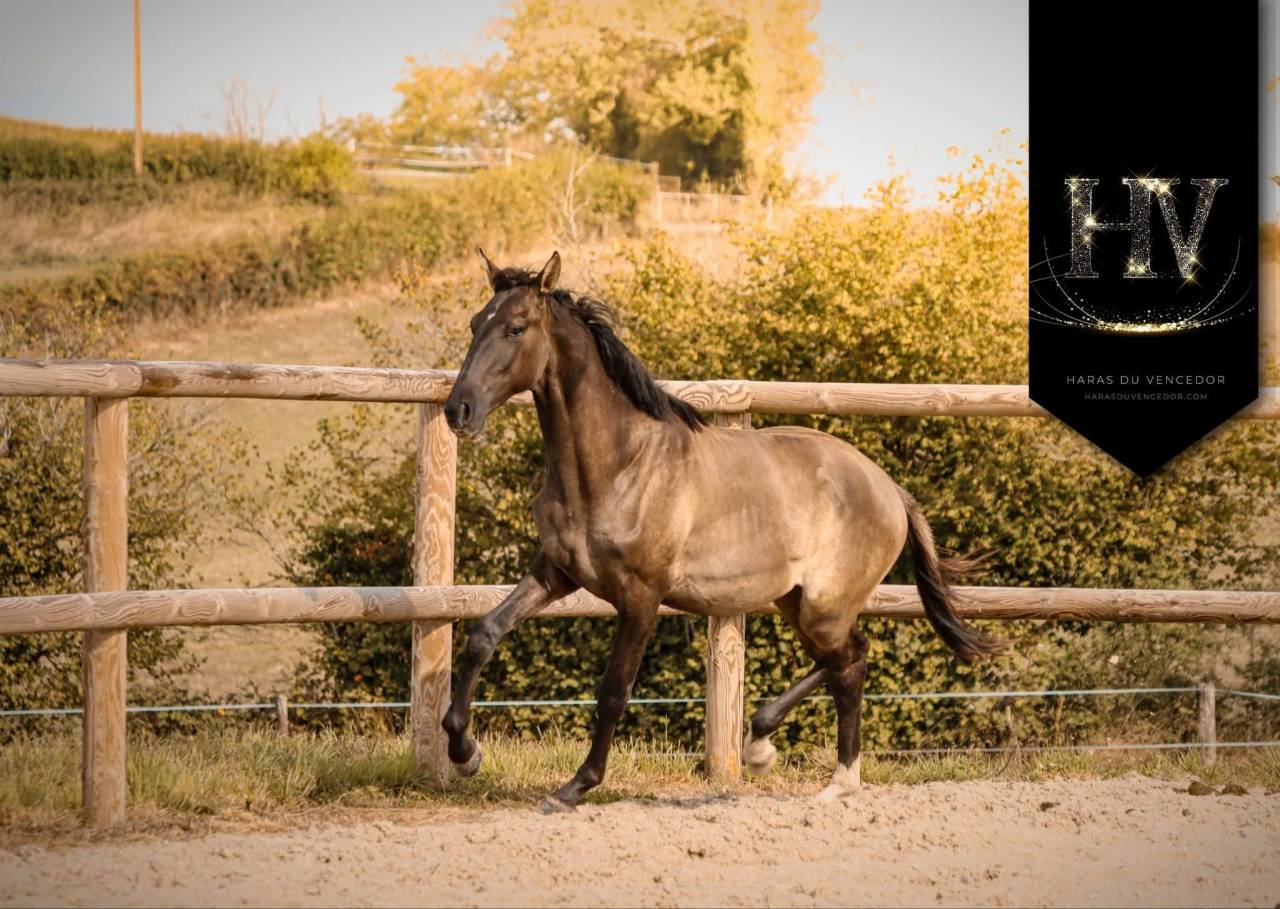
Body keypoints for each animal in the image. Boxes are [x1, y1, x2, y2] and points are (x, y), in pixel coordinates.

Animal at [441, 250, 1006, 813]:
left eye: (516, 328)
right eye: (474, 324)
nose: (458, 410)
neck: (620, 465)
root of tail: (891, 489)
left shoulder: (641, 597)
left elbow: (613, 691)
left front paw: (574, 787)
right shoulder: (556, 572)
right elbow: (483, 634)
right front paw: (465, 752)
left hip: (824, 607)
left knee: (850, 660)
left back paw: (807, 764)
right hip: (794, 602)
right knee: (846, 662)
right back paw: (789, 756)